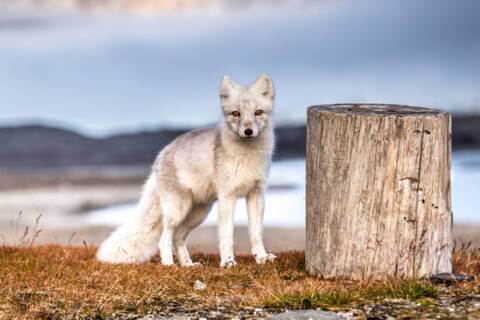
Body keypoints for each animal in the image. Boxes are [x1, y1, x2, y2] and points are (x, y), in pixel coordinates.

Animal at [96, 74, 278, 268]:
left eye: (258, 112)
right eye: (236, 113)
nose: (248, 131)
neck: (248, 157)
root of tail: (160, 156)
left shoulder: (256, 194)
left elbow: (257, 233)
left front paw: (262, 257)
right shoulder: (227, 197)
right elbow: (227, 236)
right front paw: (228, 262)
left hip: (198, 214)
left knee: (178, 238)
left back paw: (187, 265)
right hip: (177, 211)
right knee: (165, 239)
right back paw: (169, 265)